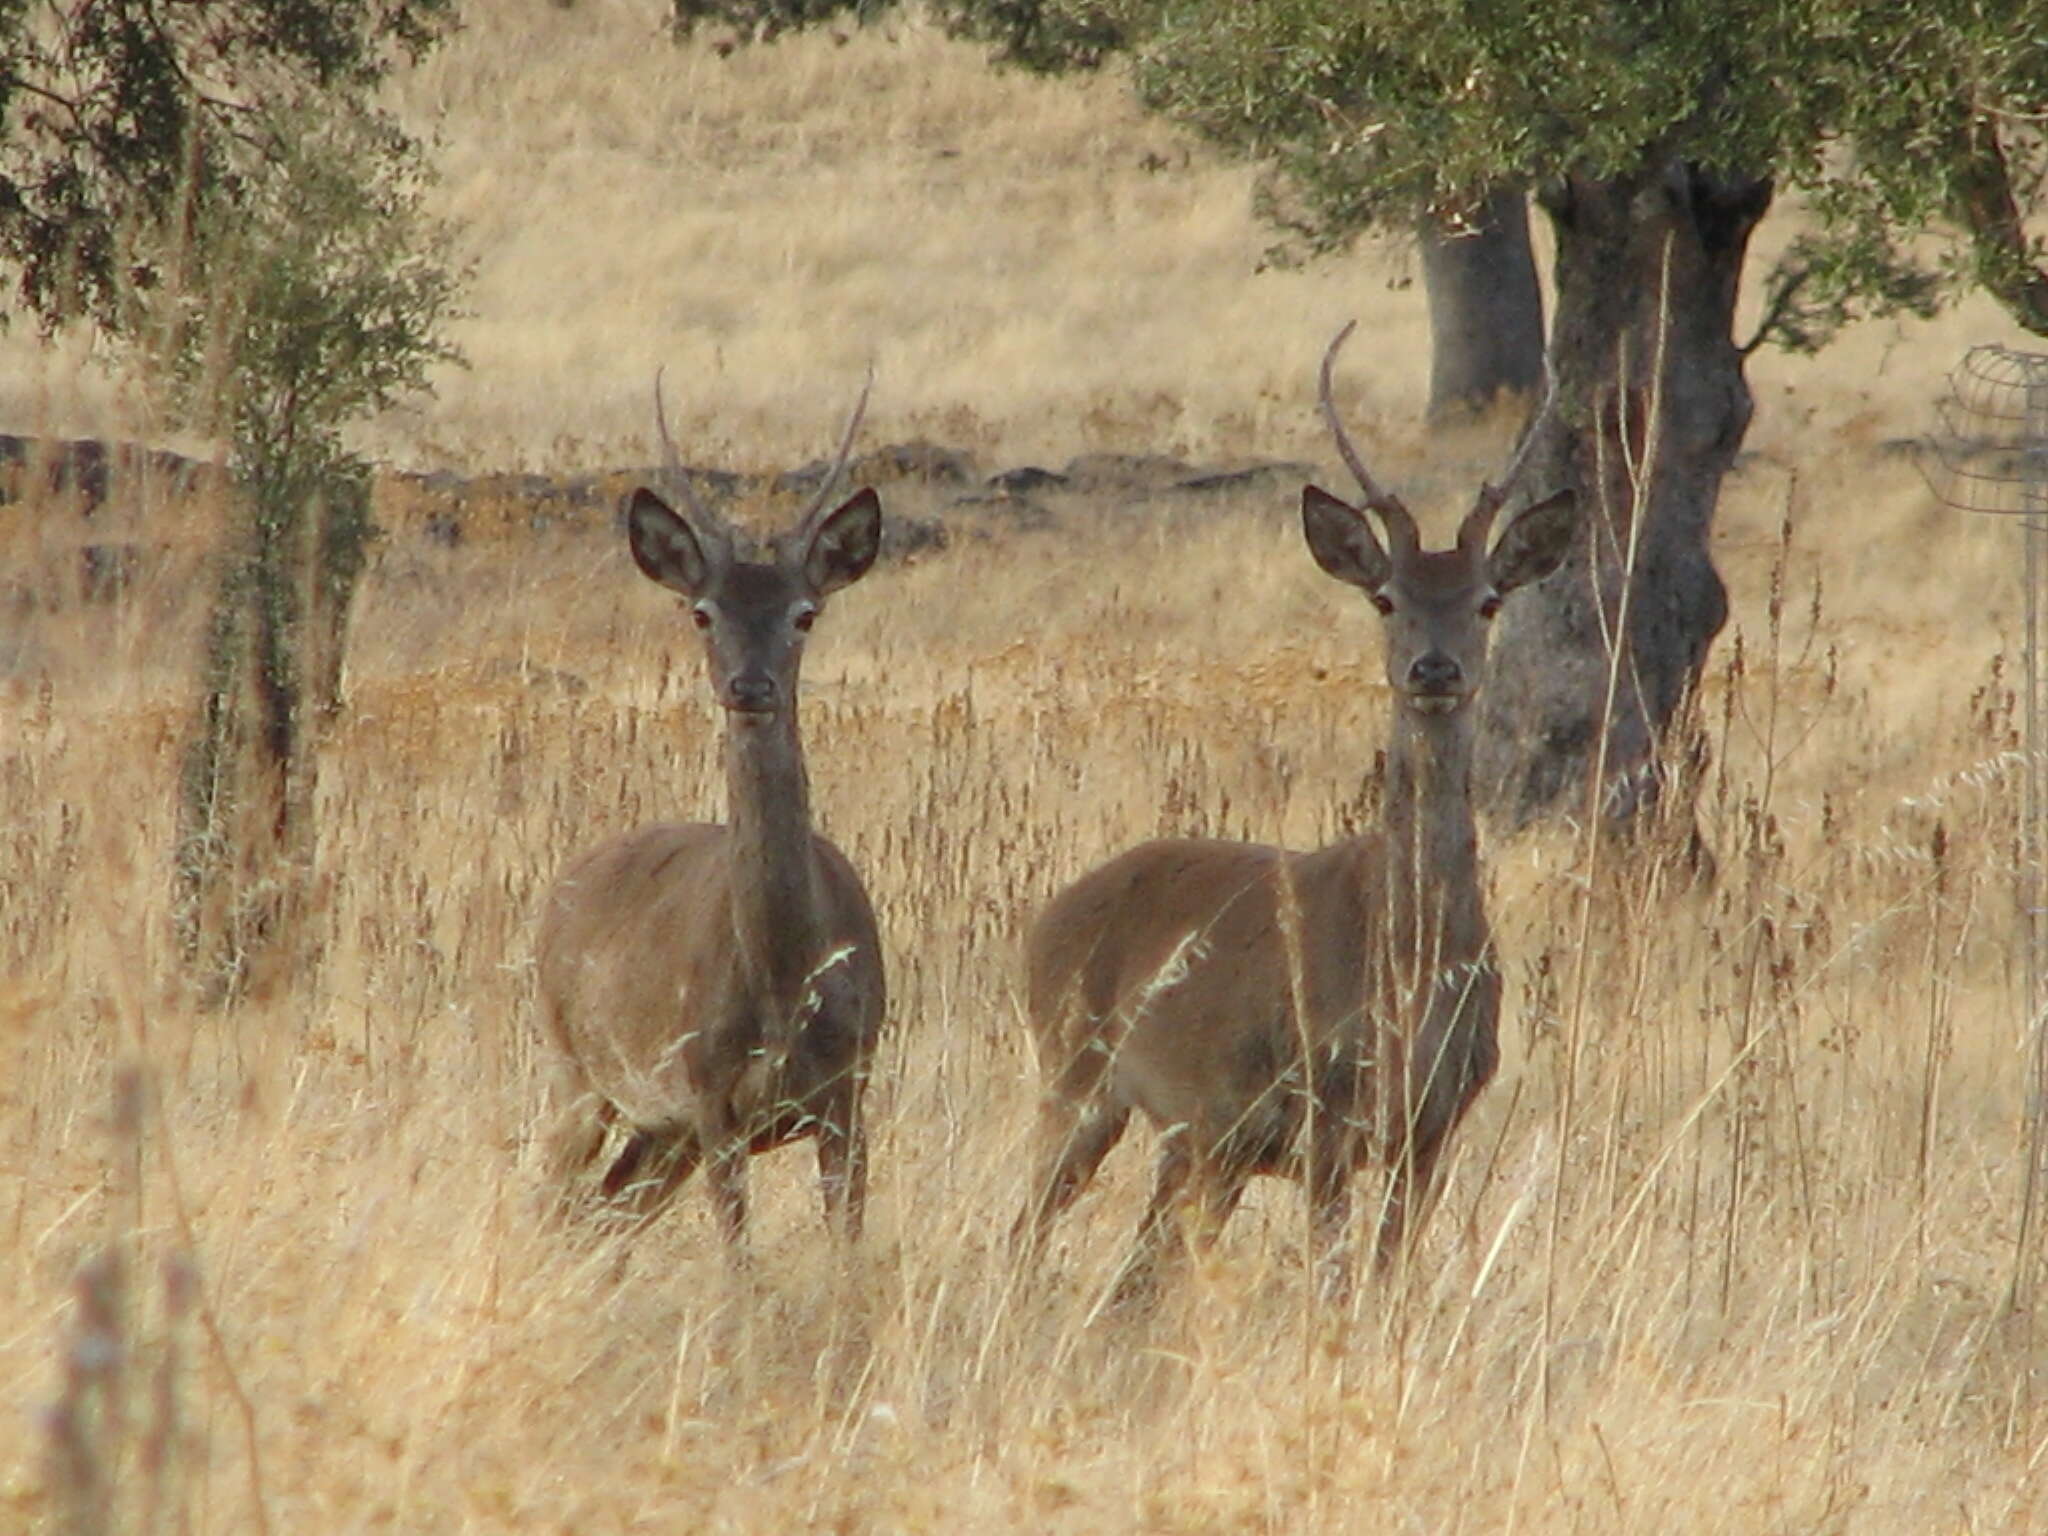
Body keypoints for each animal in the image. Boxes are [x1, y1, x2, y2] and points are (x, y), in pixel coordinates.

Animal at [532, 376, 884, 1261]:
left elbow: (848, 1253)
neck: (785, 984)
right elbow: (738, 1263)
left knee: (604, 1216)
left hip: (659, 1131)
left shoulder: (852, 1093)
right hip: (574, 1069)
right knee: (548, 1205)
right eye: (701, 611)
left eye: (804, 613)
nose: (749, 686)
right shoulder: (711, 1096)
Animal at [1015, 325, 1572, 1310]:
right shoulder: (1324, 1114)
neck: (1408, 970)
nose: (1434, 668)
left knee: (1136, 1273)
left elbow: (1383, 1278)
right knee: (1025, 1229)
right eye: (1386, 598)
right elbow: (1337, 1278)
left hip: (1193, 1136)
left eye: (1488, 600)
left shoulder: (1433, 1126)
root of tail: (1046, 919)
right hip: (1078, 1071)